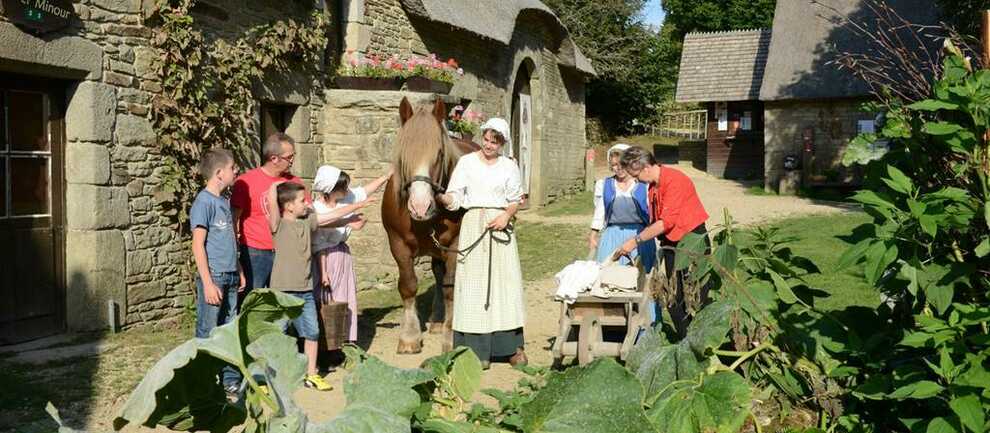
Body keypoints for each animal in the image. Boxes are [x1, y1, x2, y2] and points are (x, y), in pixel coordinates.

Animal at [382, 96, 478, 352]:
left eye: (439, 154)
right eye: (403, 155)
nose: (420, 206)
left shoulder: (455, 245)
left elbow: (451, 288)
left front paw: (451, 336)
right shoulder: (398, 245)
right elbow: (408, 285)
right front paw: (410, 336)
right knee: (437, 274)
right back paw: (436, 320)